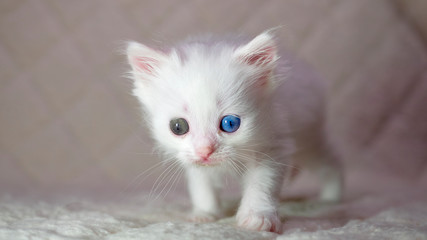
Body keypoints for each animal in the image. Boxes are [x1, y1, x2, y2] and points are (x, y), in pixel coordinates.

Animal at [125, 29, 342, 232]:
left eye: (230, 123)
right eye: (178, 127)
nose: (205, 151)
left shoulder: (273, 144)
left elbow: (262, 184)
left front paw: (258, 217)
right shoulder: (192, 158)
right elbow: (201, 184)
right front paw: (205, 213)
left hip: (309, 138)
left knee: (331, 161)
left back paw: (331, 198)